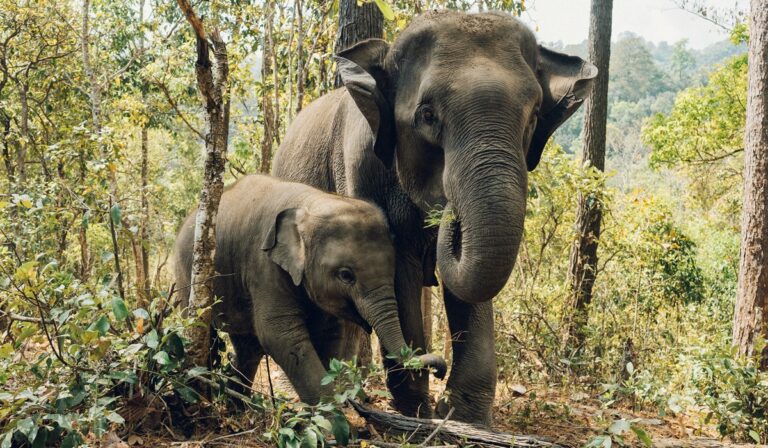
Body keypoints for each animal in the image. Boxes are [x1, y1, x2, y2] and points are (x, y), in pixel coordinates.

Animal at [175, 173, 448, 404]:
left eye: (392, 272)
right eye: (346, 275)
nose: (440, 370)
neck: (311, 202)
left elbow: (329, 334)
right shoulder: (264, 265)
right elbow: (280, 334)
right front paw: (336, 420)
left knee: (247, 347)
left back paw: (237, 406)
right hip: (186, 277)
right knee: (204, 332)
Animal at [272, 10, 596, 424]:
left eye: (534, 116)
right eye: (427, 115)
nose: (448, 212)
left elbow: (469, 285)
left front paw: (464, 417)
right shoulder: (360, 169)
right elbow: (399, 271)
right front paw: (417, 411)